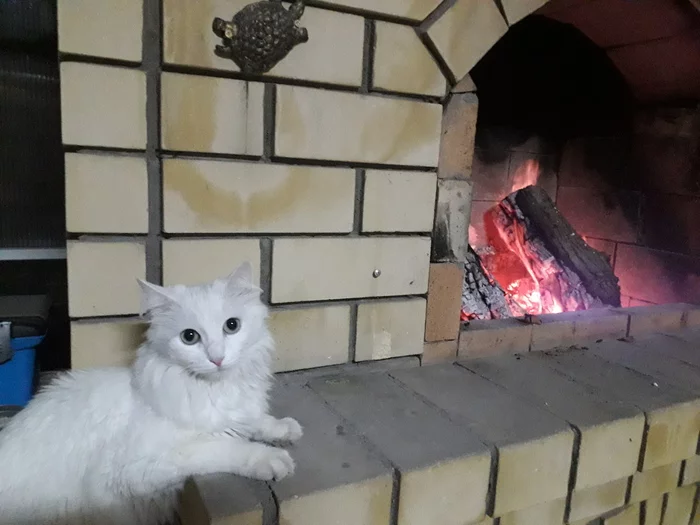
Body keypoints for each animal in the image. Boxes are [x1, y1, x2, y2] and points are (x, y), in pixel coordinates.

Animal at [0, 264, 300, 520]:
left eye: (232, 326)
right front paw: (268, 458)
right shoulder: (138, 466)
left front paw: (283, 428)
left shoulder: (242, 414)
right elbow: (223, 447)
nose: (217, 359)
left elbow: (258, 421)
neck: (215, 388)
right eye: (189, 337)